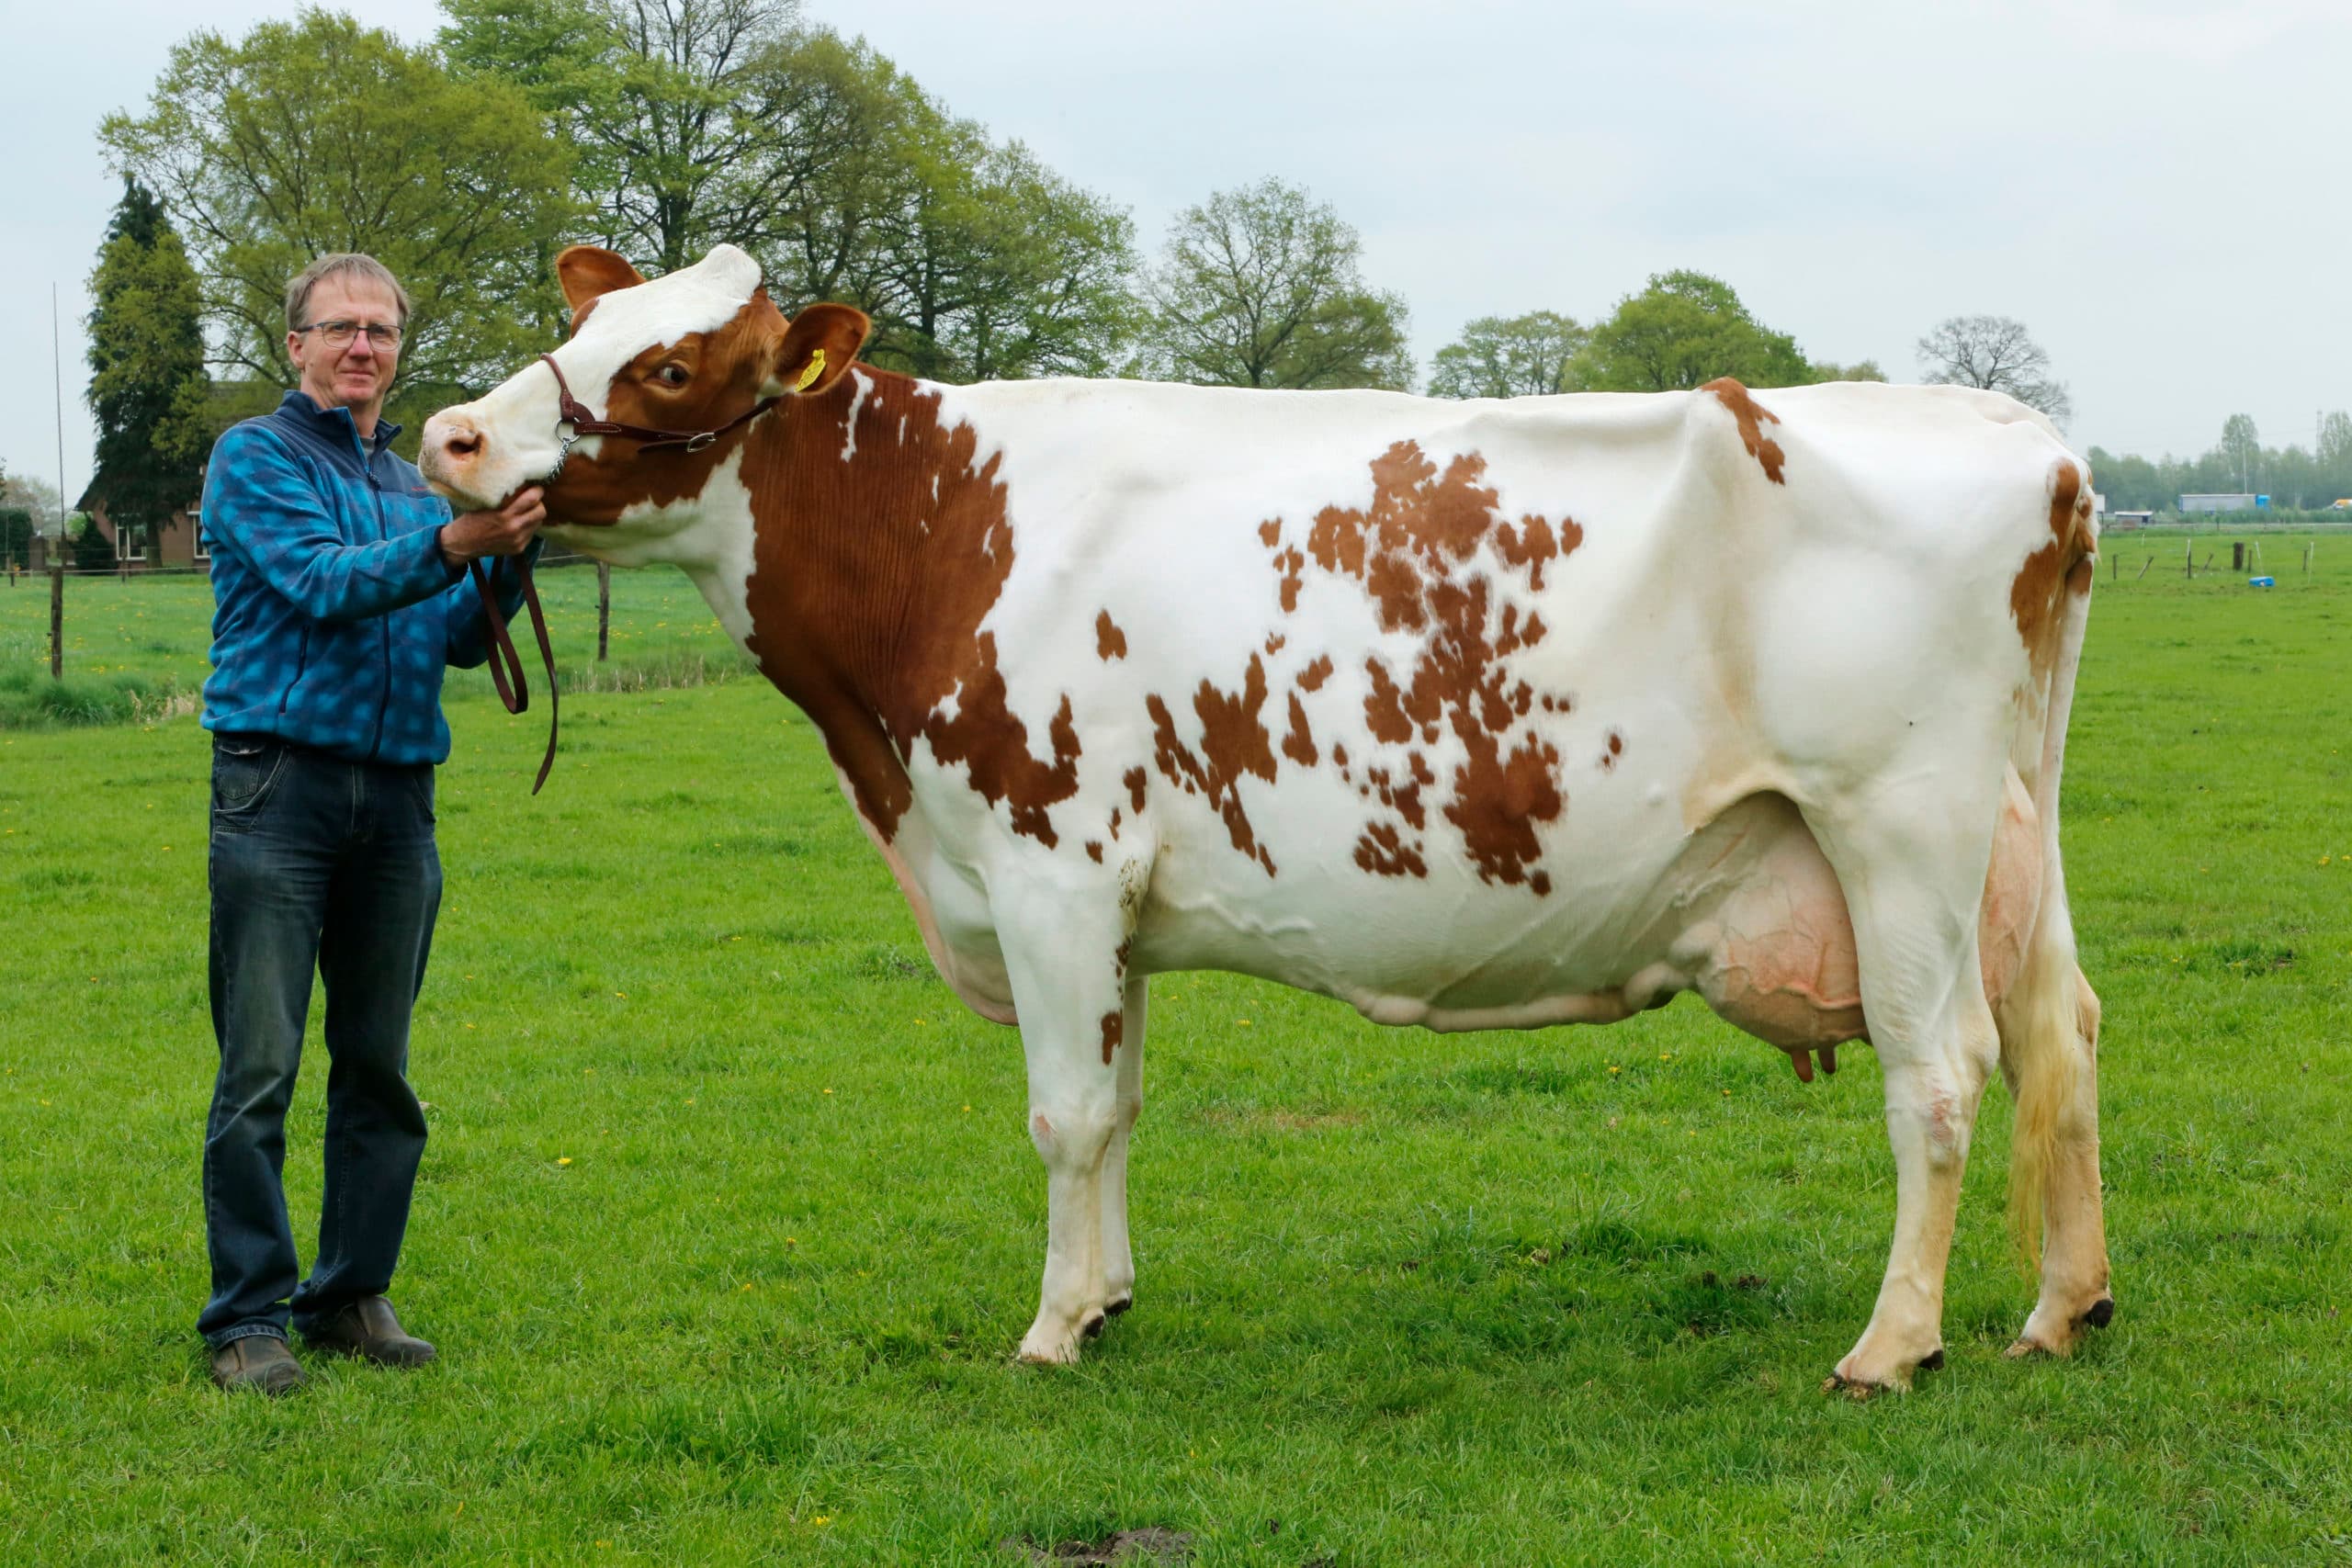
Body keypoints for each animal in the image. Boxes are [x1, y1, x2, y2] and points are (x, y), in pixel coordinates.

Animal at [421, 243, 2111, 1393]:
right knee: (2062, 1028)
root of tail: (2027, 441)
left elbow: (1064, 1111)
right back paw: (2059, 1307)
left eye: (668, 368)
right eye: (581, 324)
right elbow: (1116, 1104)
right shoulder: (1109, 905)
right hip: (2010, 829)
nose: (448, 437)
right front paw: (1105, 1298)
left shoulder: (1047, 868)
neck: (949, 534)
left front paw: (1050, 1329)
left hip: (1897, 826)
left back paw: (1891, 1346)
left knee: (1942, 1070)